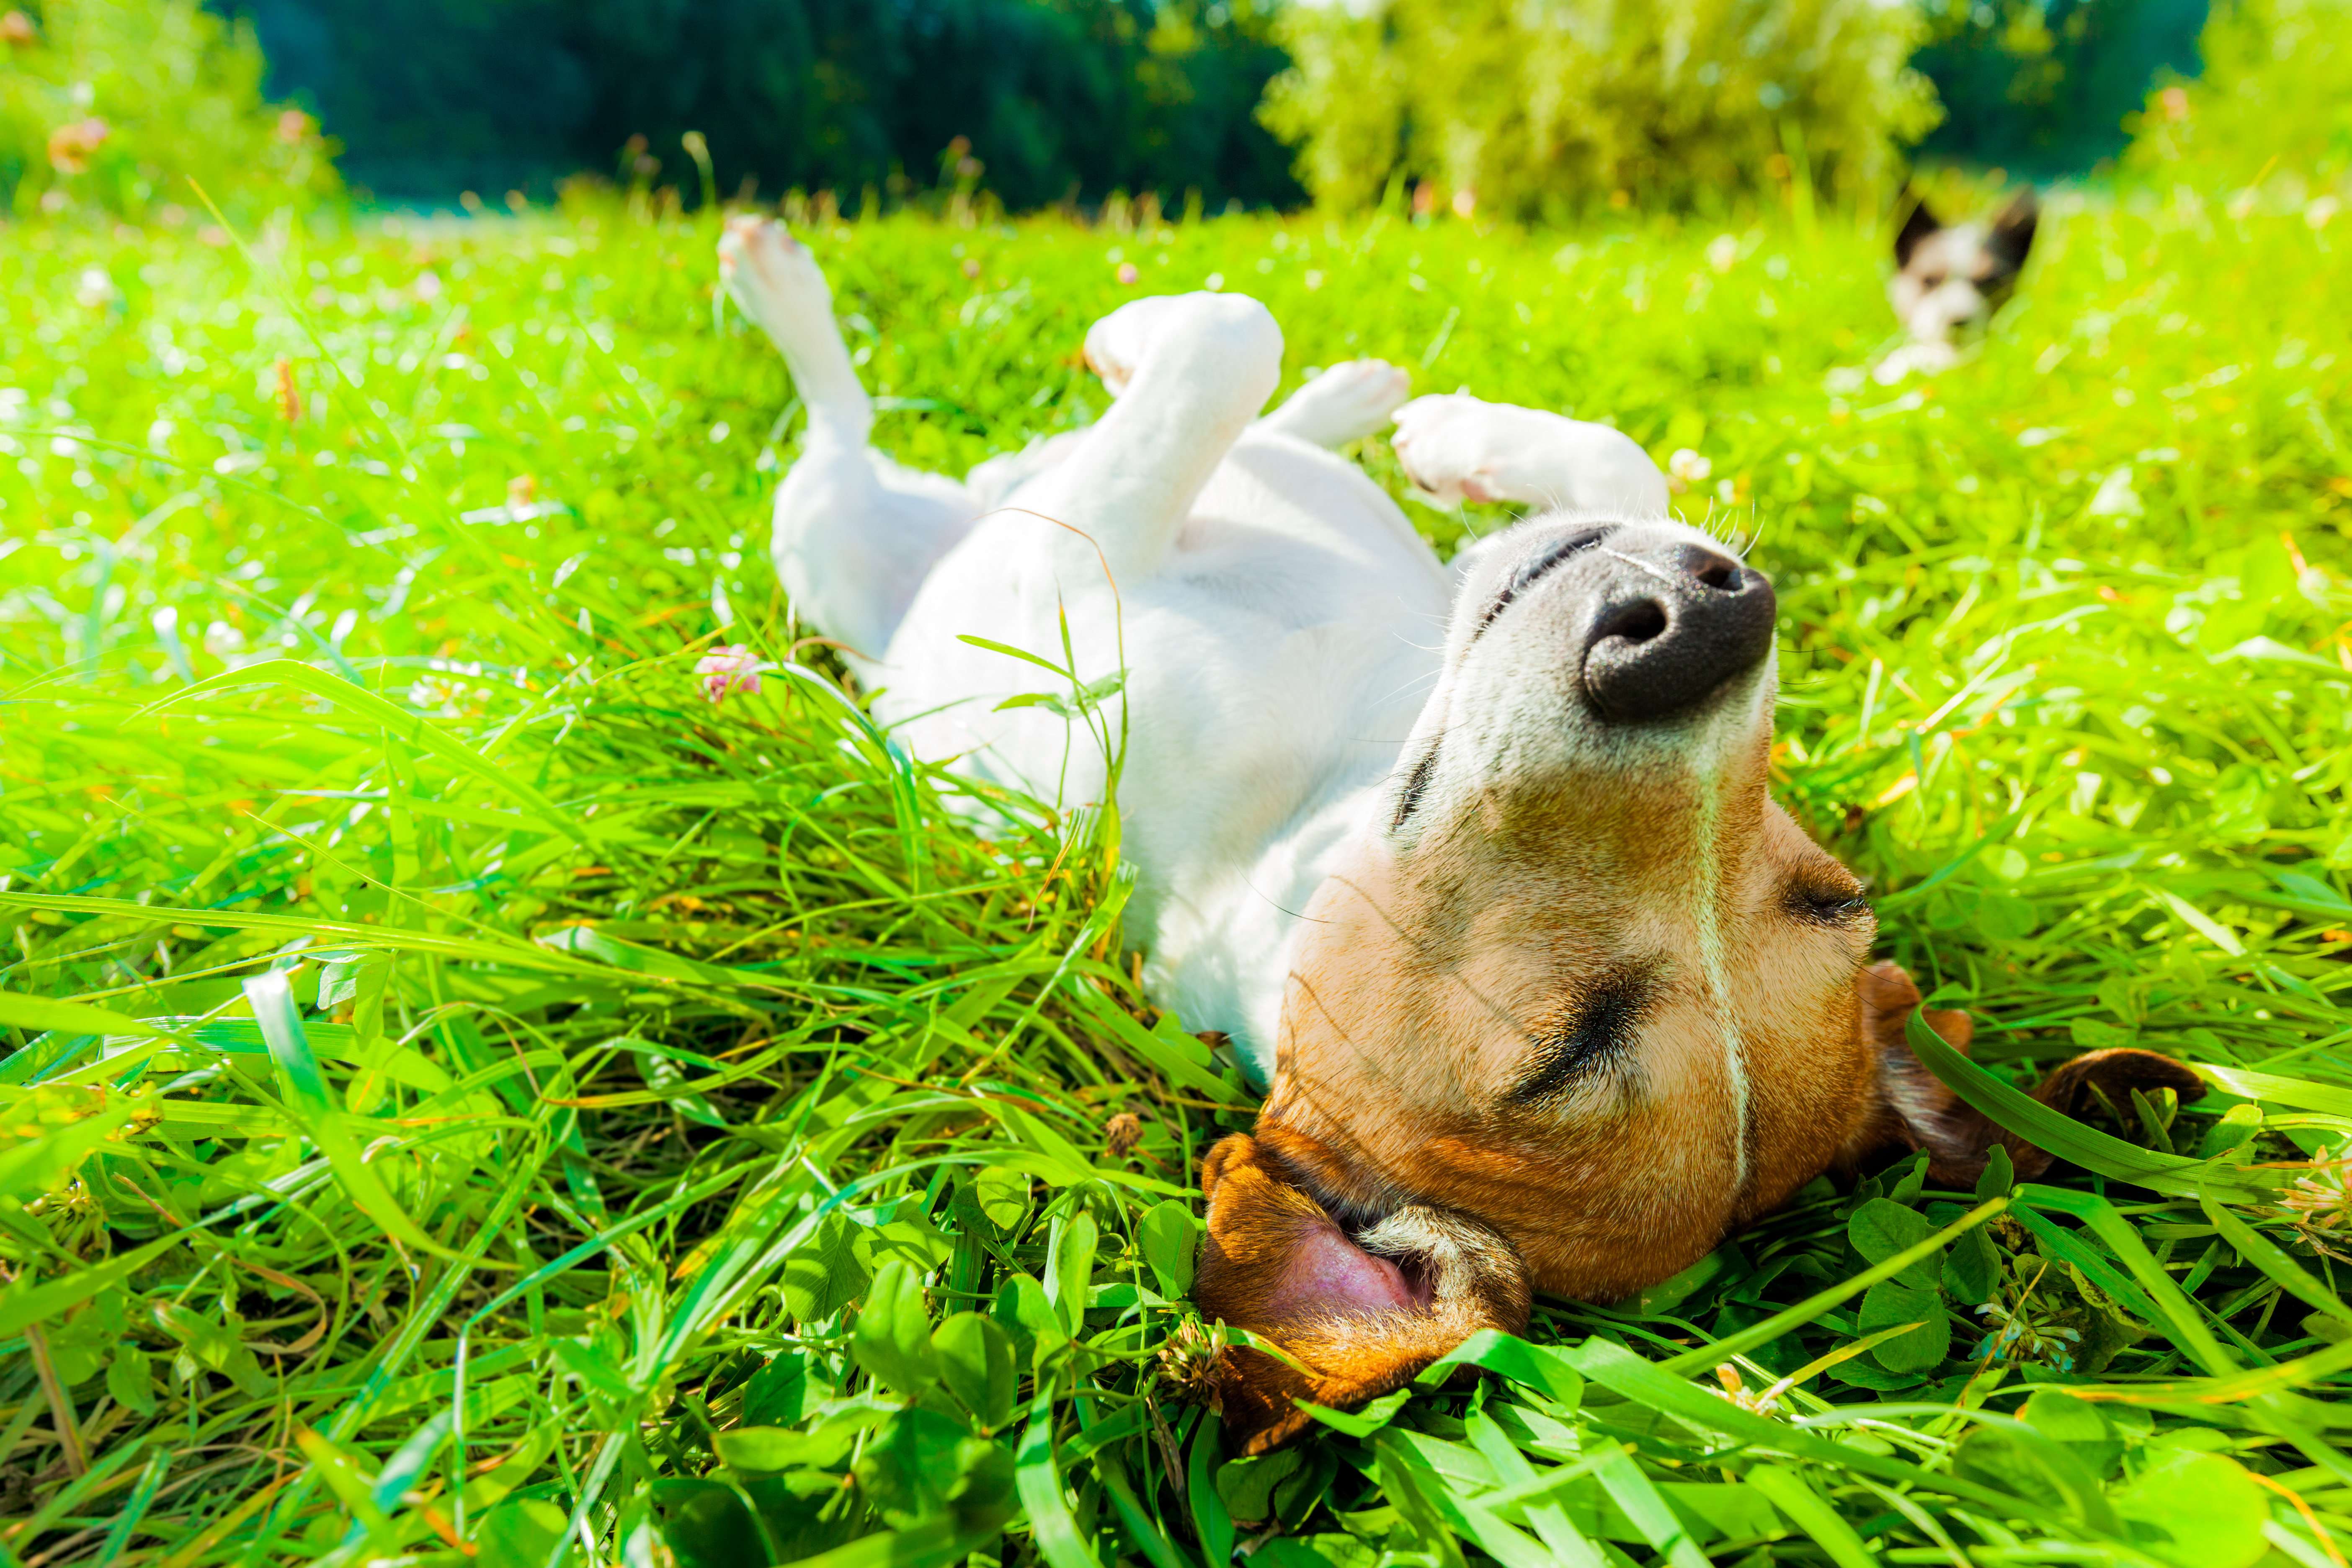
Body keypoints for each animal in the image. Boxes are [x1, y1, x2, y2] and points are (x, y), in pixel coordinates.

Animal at [715, 215, 2182, 1457]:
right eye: (1836, 896)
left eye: (1558, 1056)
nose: (1701, 633)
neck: (1340, 773)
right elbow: (1600, 457)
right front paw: (1460, 443)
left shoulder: (1073, 601)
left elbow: (1226, 338)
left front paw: (1171, 351)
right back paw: (1348, 399)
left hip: (830, 542)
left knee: (842, 435)